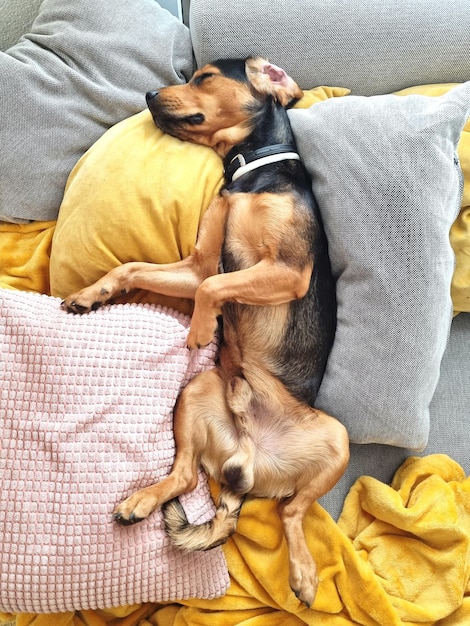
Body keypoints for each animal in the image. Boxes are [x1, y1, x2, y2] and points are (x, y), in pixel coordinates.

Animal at [62, 58, 348, 604]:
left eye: (205, 77)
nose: (150, 94)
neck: (247, 172)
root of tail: (245, 468)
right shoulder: (197, 265)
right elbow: (135, 268)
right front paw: (93, 293)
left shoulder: (286, 271)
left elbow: (215, 286)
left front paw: (198, 329)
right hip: (196, 392)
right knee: (184, 478)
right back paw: (140, 501)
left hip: (336, 439)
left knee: (291, 511)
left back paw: (303, 573)